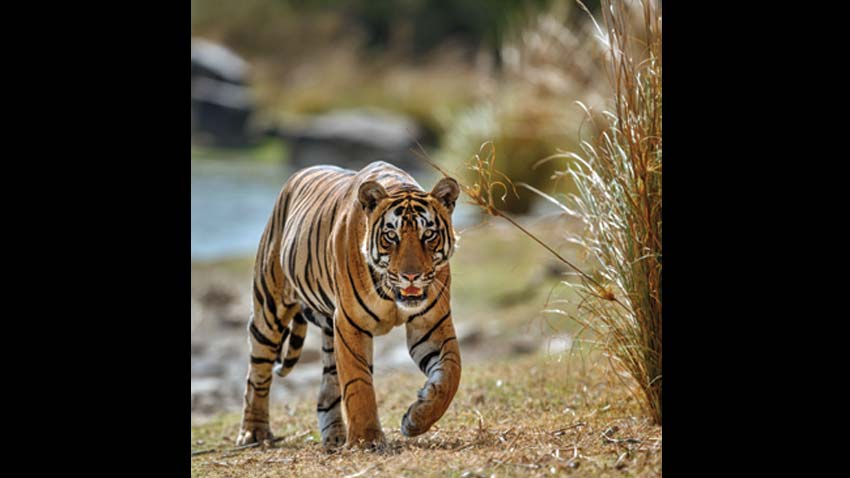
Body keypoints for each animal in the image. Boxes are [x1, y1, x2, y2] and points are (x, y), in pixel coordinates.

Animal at [237, 160, 462, 450]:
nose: (410, 276)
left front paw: (416, 419)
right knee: (257, 373)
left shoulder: (431, 325)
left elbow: (451, 373)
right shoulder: (349, 324)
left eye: (429, 234)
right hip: (269, 309)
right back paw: (253, 433)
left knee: (326, 390)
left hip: (328, 332)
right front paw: (367, 439)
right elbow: (358, 383)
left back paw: (334, 436)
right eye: (391, 236)